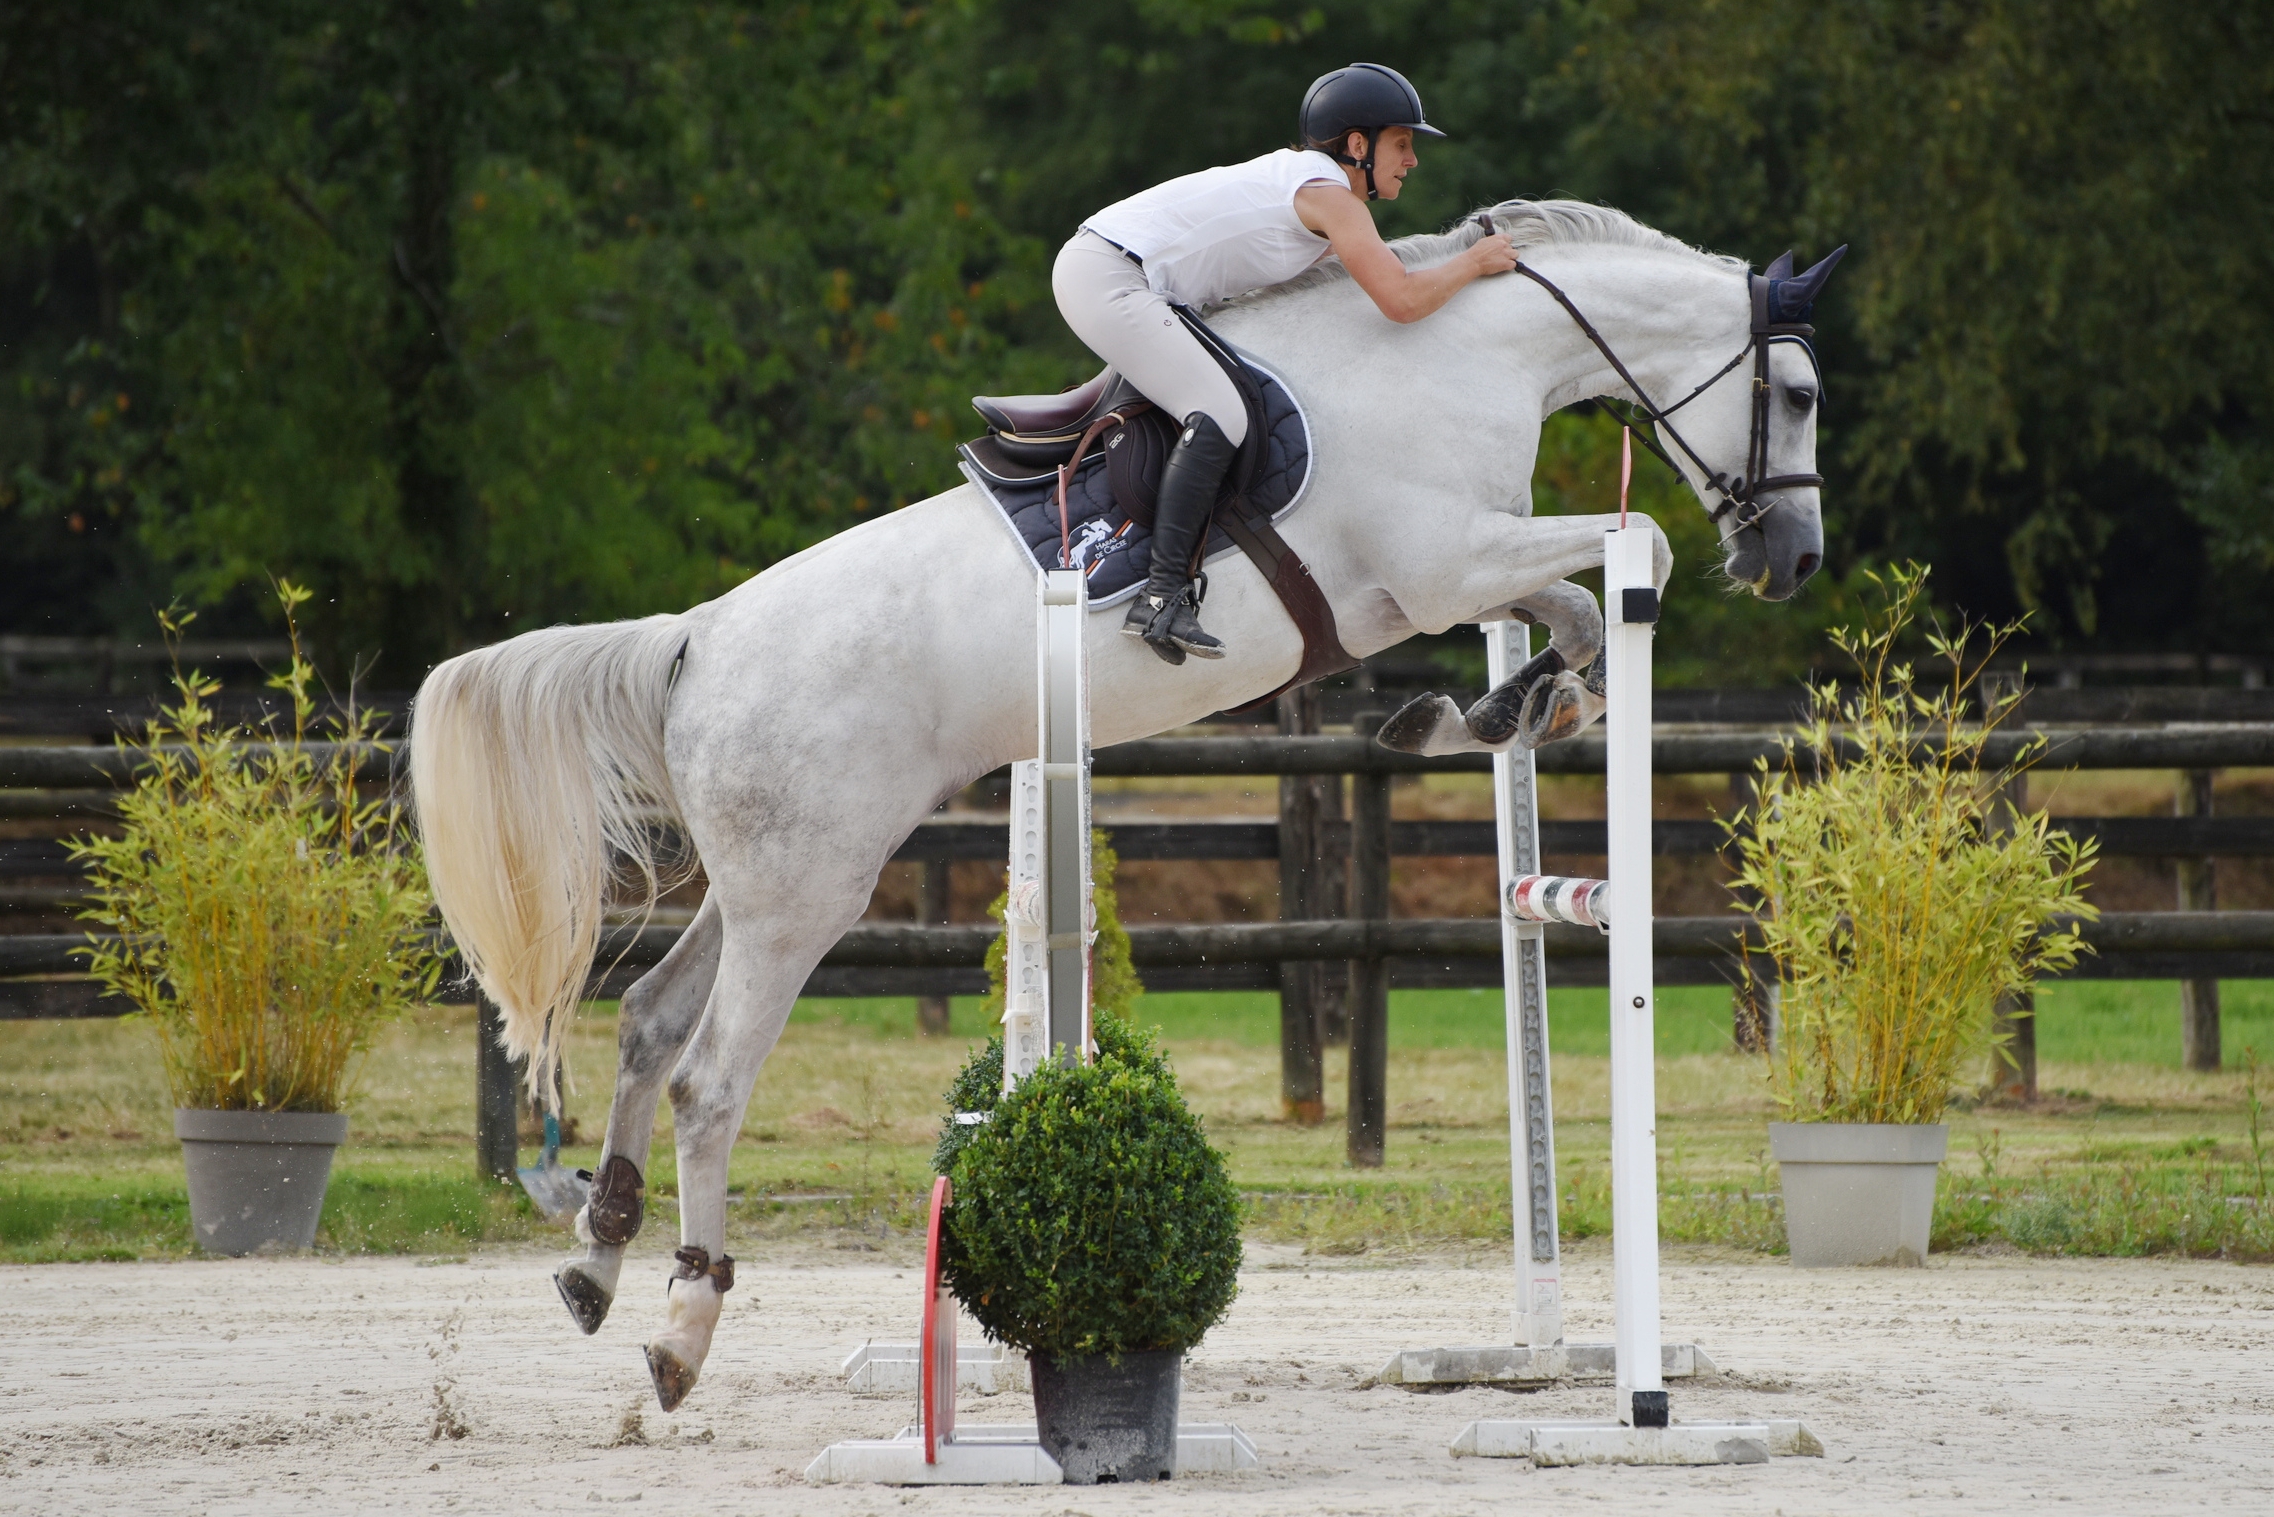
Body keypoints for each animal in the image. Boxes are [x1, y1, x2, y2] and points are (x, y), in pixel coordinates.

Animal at [404, 199, 1828, 1410]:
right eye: (1801, 394)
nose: (1793, 559)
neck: (1457, 349)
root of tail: (698, 637)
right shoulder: (1439, 565)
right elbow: (1621, 566)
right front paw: (1511, 706)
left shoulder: (1452, 574)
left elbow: (1577, 606)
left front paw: (1496, 712)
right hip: (810, 889)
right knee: (710, 1080)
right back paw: (681, 1329)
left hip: (771, 882)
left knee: (650, 1023)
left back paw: (596, 1259)